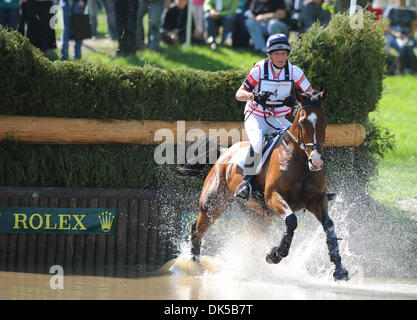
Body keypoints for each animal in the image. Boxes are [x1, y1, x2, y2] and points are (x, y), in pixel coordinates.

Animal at [188, 89, 348, 280]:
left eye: (325, 121)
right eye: (302, 122)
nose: (316, 161)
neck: (300, 161)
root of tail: (225, 153)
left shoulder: (317, 201)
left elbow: (329, 227)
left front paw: (340, 269)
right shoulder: (273, 197)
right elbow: (291, 221)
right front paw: (274, 255)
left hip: (260, 216)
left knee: (247, 239)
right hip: (213, 204)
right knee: (197, 230)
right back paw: (194, 266)